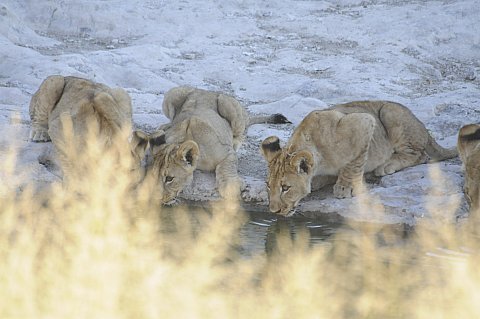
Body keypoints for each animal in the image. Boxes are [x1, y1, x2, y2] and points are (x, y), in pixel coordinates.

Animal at [157, 85, 288, 200]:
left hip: (228, 104)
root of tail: (205, 90)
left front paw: (232, 187)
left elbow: (226, 168)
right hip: (171, 94)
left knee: (241, 130)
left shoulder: (227, 153)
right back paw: (163, 127)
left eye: (169, 178)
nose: (156, 199)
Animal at [262, 99, 458, 218]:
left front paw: (345, 187)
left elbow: (354, 162)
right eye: (268, 186)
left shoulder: (364, 122)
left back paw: (387, 165)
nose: (273, 211)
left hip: (389, 112)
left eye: (285, 188)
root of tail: (424, 128)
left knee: (420, 155)